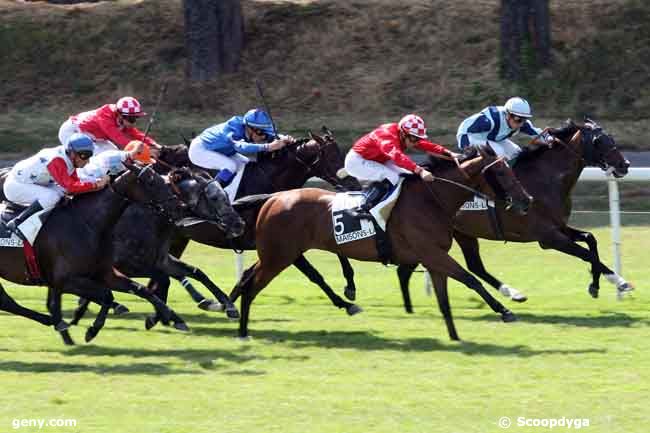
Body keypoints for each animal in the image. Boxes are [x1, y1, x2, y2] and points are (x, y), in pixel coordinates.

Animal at [0, 165, 192, 344]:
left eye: (164, 181)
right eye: (151, 182)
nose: (180, 207)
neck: (88, 223)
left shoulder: (105, 273)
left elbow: (141, 289)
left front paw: (173, 318)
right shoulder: (65, 280)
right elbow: (107, 295)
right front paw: (92, 329)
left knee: (7, 302)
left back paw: (57, 323)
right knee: (8, 302)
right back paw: (57, 322)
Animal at [230, 146, 528, 340]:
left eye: (512, 170)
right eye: (502, 174)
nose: (527, 200)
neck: (431, 200)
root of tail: (274, 197)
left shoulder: (433, 258)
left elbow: (445, 299)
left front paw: (454, 335)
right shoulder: (432, 253)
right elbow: (471, 279)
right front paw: (505, 311)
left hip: (278, 254)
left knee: (247, 278)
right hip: (278, 257)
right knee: (251, 287)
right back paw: (242, 331)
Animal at [392, 119, 632, 310]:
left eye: (611, 138)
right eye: (599, 141)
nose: (625, 164)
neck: (546, 179)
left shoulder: (560, 227)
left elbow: (591, 240)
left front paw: (615, 281)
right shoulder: (548, 237)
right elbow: (586, 254)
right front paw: (604, 285)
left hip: (459, 233)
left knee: (472, 266)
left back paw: (513, 294)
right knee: (469, 266)